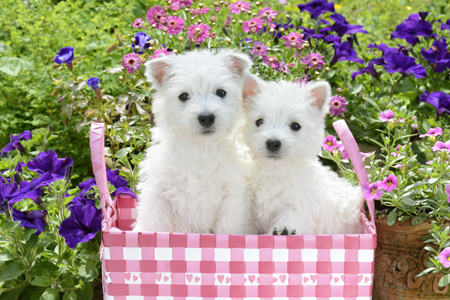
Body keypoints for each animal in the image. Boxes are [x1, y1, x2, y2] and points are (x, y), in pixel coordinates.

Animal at [134, 49, 253, 234]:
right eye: (183, 96)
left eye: (221, 92)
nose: (206, 118)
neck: (200, 149)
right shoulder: (159, 192)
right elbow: (153, 223)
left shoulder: (232, 196)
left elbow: (227, 229)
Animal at [243, 78, 362, 237]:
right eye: (259, 121)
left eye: (295, 126)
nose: (273, 143)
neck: (275, 170)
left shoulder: (299, 203)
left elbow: (292, 216)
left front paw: (284, 229)